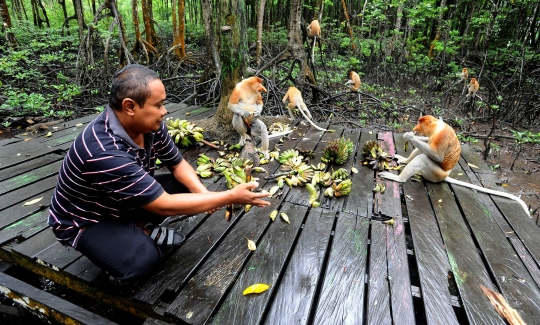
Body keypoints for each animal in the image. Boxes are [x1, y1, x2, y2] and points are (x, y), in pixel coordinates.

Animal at [380, 115, 528, 214]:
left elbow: (437, 155)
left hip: (434, 173)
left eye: (419, 123)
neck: (438, 127)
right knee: (421, 149)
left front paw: (410, 136)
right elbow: (427, 140)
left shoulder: (442, 136)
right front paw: (410, 135)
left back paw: (398, 178)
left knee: (423, 158)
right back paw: (405, 160)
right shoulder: (432, 135)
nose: (415, 128)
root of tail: (445, 175)